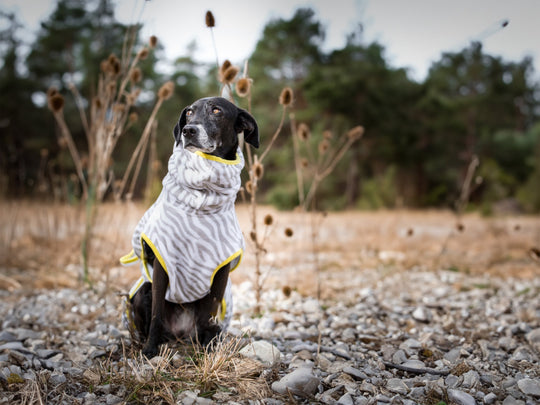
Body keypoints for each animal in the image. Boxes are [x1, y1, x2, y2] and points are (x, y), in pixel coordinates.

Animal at [121, 97, 260, 356]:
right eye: (188, 113)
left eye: (216, 110)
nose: (188, 130)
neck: (201, 198)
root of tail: (180, 333)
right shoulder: (162, 265)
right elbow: (156, 315)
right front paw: (150, 350)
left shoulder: (220, 272)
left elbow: (209, 315)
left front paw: (208, 349)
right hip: (143, 290)